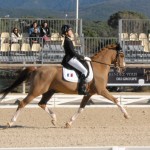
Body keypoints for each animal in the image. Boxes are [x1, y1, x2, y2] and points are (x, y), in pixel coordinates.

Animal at [0, 43, 129, 127]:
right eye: (122, 55)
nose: (123, 69)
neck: (99, 67)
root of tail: (37, 68)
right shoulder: (102, 90)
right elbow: (116, 100)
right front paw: (126, 115)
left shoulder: (89, 93)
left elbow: (81, 108)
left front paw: (68, 123)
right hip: (37, 90)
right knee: (23, 103)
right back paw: (10, 122)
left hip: (49, 91)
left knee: (42, 104)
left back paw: (54, 119)